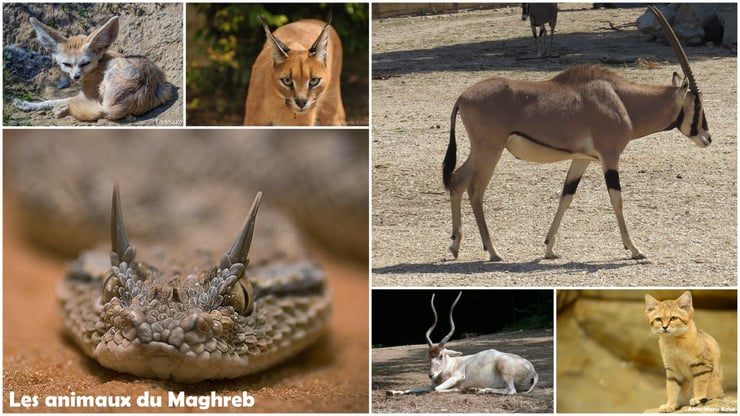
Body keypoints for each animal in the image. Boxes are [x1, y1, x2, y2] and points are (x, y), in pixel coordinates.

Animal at [387, 292, 538, 395]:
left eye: (441, 356)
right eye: (429, 356)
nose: (431, 375)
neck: (451, 365)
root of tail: (533, 370)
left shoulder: (457, 377)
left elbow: (437, 389)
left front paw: (461, 389)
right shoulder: (431, 384)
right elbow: (415, 388)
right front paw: (393, 392)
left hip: (505, 369)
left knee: (511, 391)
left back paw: (478, 390)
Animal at [443, 6, 711, 261]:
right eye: (697, 105)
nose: (707, 138)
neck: (622, 101)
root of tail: (462, 97)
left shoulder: (582, 159)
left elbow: (566, 196)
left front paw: (549, 248)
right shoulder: (609, 157)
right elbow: (617, 199)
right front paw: (634, 249)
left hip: (481, 151)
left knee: (457, 180)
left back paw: (456, 245)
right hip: (490, 151)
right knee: (475, 190)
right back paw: (493, 251)